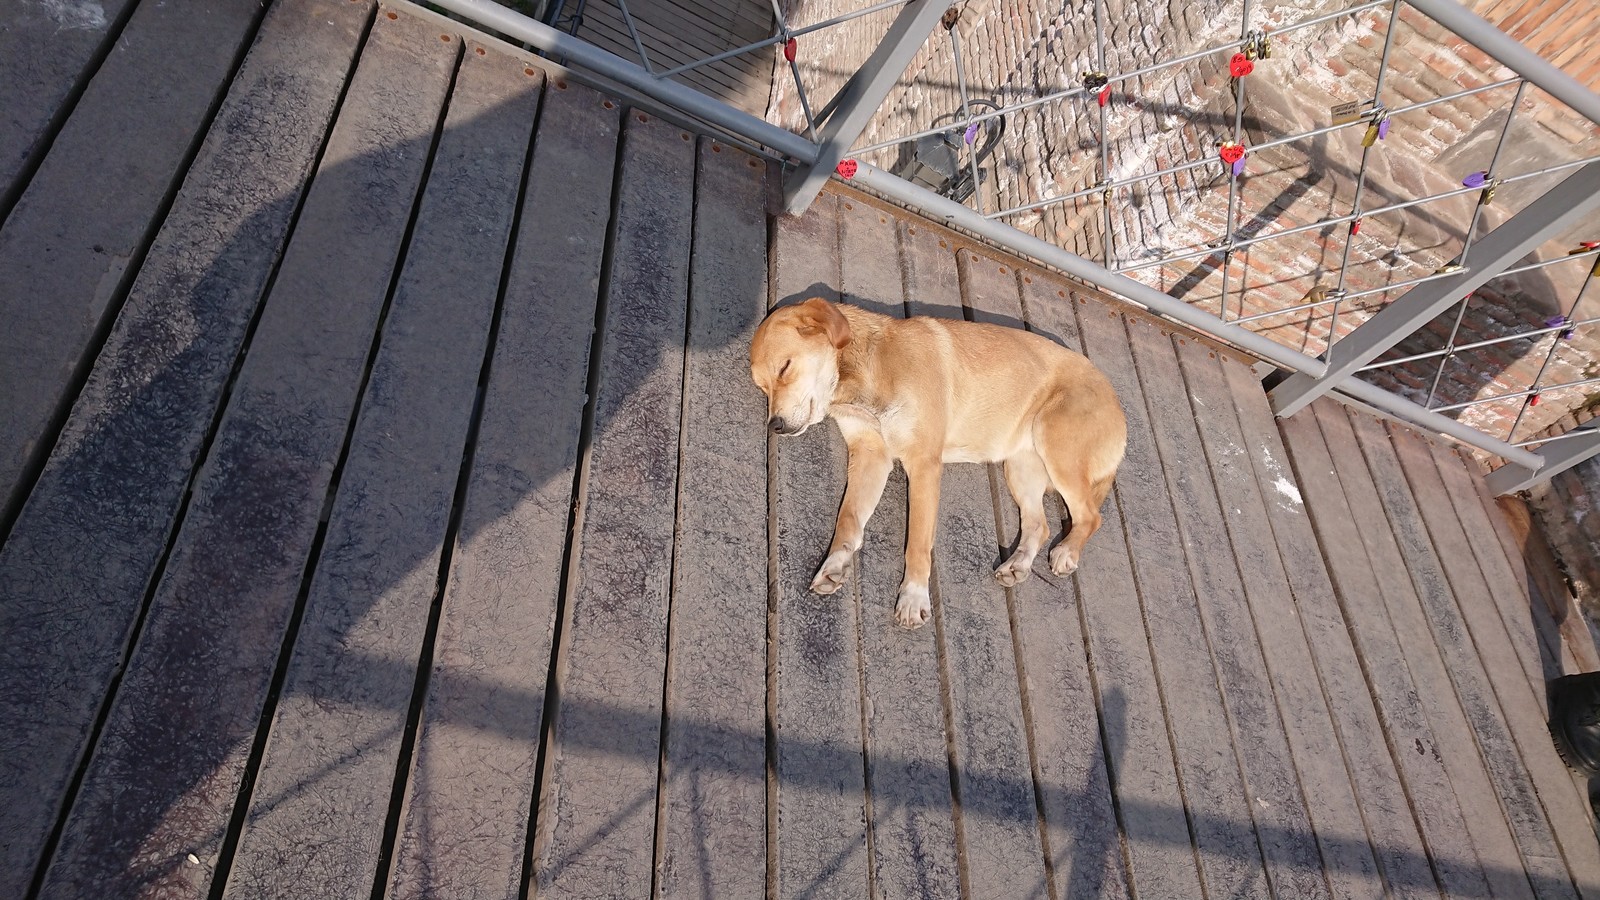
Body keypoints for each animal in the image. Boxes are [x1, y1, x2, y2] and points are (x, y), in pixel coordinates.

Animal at [755, 297, 1132, 627]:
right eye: (762, 388)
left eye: (785, 368)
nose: (774, 426)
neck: (863, 376)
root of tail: (1117, 402)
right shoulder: (870, 456)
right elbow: (848, 520)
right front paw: (834, 564)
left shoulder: (923, 464)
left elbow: (918, 541)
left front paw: (913, 598)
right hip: (1020, 467)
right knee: (1040, 526)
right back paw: (1018, 565)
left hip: (1056, 444)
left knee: (1090, 517)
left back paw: (1067, 552)